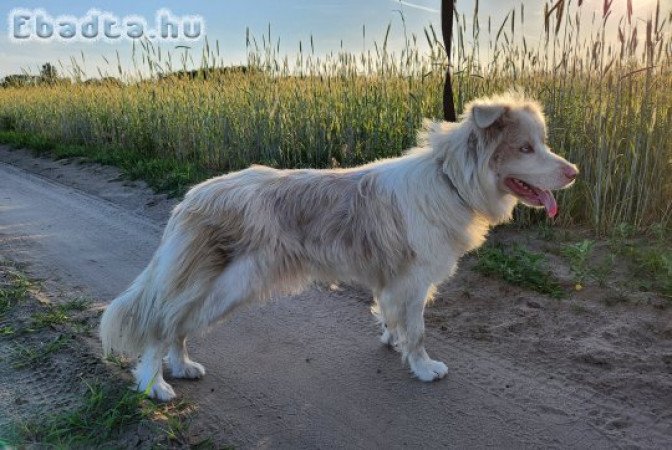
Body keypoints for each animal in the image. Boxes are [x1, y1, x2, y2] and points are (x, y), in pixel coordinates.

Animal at [98, 92, 576, 400]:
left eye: (541, 144)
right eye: (526, 148)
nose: (573, 173)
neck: (450, 180)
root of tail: (193, 197)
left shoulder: (396, 284)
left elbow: (394, 319)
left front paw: (393, 342)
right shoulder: (413, 281)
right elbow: (419, 331)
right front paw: (423, 369)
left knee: (177, 325)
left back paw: (181, 367)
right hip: (228, 286)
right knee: (161, 326)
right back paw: (156, 384)